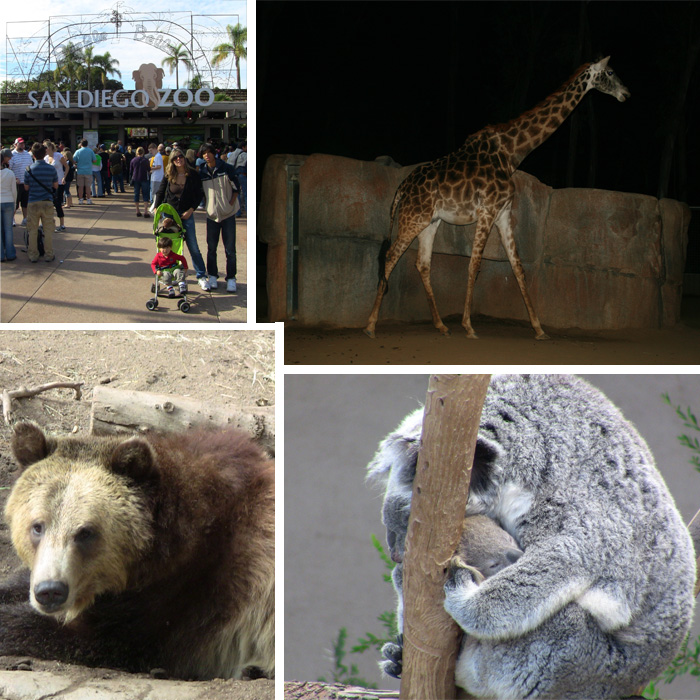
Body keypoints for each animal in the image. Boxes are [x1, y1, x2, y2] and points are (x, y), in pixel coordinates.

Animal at [364, 56, 632, 340]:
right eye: (610, 72)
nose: (626, 93)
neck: (512, 152)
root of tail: (401, 188)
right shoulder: (488, 210)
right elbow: (475, 264)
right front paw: (469, 326)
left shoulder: (504, 213)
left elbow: (518, 267)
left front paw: (539, 329)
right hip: (413, 217)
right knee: (391, 256)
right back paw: (371, 325)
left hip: (430, 221)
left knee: (422, 263)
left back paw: (440, 325)